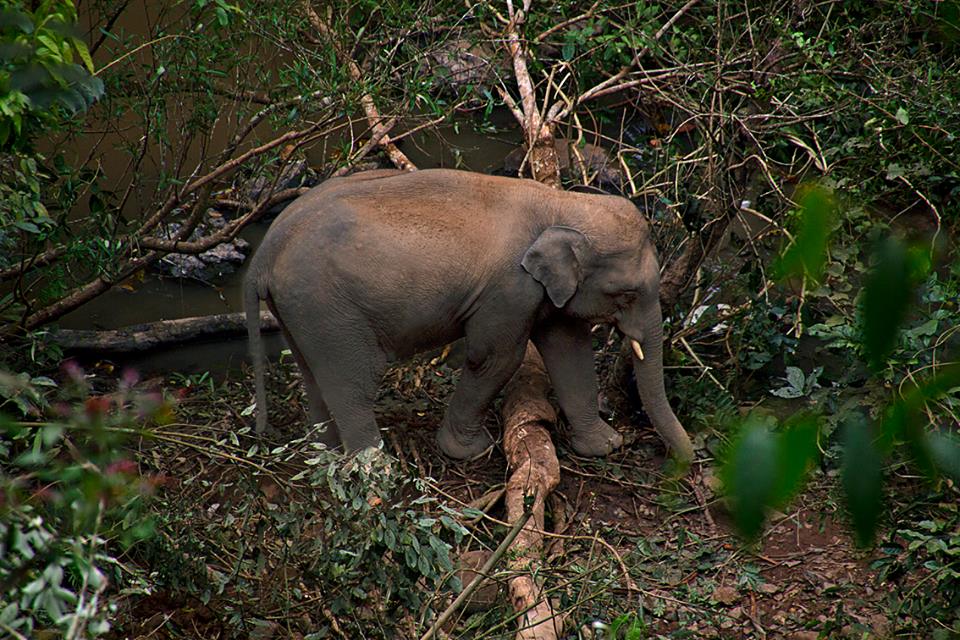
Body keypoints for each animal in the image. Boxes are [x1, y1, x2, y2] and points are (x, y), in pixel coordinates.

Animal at [244, 168, 692, 460]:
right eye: (627, 293)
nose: (679, 461)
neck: (562, 203)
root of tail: (263, 254)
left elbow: (570, 352)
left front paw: (605, 446)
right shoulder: (509, 289)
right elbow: (495, 358)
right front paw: (471, 452)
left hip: (301, 310)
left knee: (313, 375)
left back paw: (325, 455)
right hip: (327, 307)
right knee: (353, 381)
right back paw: (375, 469)